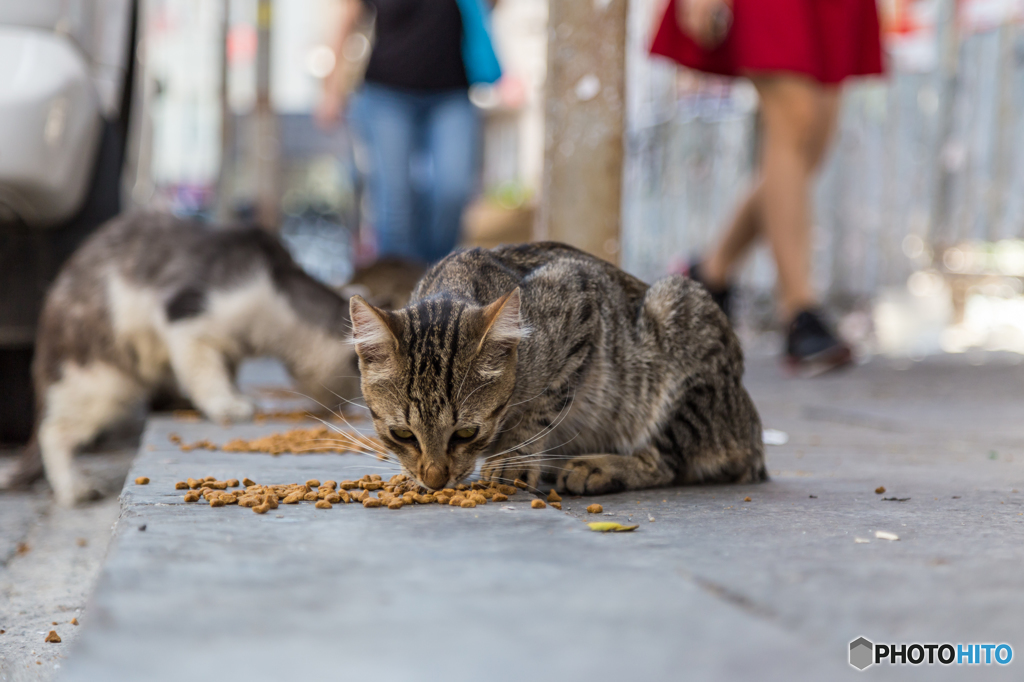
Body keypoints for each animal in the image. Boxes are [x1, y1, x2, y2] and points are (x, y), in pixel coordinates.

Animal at [348, 241, 765, 491]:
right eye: (403, 435)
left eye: (466, 433)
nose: (434, 480)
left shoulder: (578, 296)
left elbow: (541, 407)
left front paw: (513, 456)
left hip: (678, 313)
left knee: (662, 463)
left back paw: (599, 467)